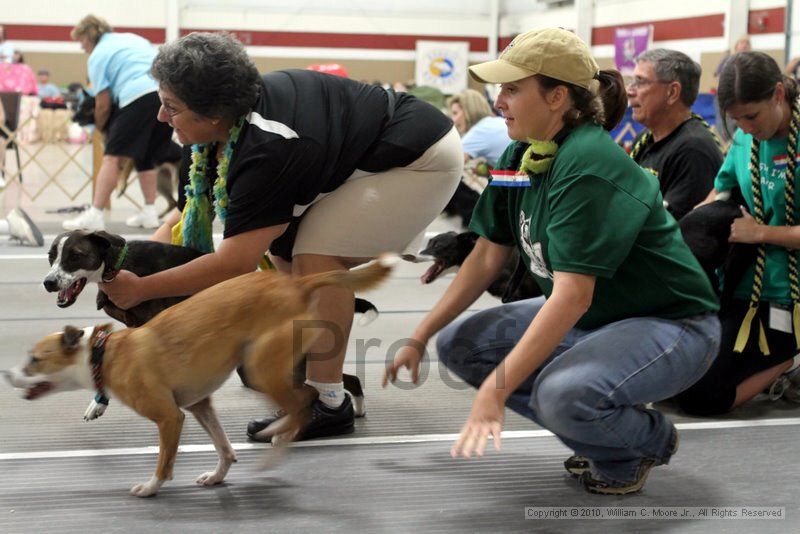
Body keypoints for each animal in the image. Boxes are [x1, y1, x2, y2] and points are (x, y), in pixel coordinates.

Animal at [3, 260, 394, 498]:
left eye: (35, 360)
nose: (8, 375)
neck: (104, 353)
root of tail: (297, 284)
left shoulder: (169, 418)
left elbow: (164, 463)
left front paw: (150, 487)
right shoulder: (199, 406)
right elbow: (224, 448)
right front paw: (217, 476)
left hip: (259, 368)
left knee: (303, 403)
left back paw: (276, 438)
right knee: (304, 399)